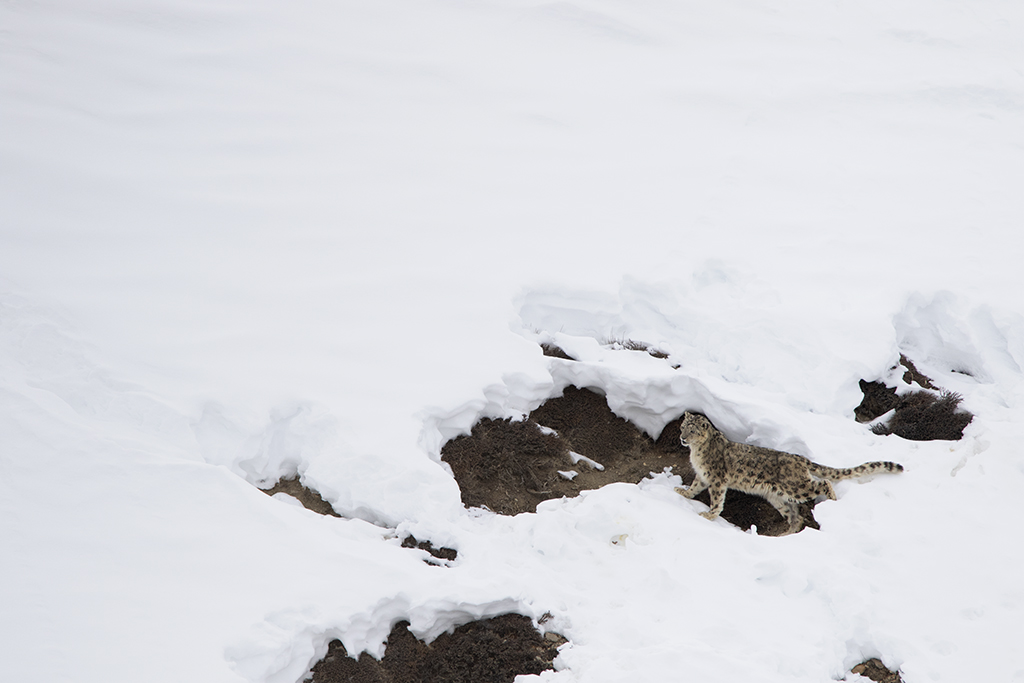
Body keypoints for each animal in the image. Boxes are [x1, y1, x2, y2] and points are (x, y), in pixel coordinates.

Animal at [674, 412, 903, 535]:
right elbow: (694, 487)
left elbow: (717, 500)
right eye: (683, 426)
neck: (696, 452)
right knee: (796, 516)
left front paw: (708, 515)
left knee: (822, 484)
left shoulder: (717, 479)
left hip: (797, 487)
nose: (683, 438)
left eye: (692, 430)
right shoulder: (703, 476)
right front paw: (682, 492)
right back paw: (784, 535)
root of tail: (801, 459)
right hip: (777, 497)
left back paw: (832, 500)